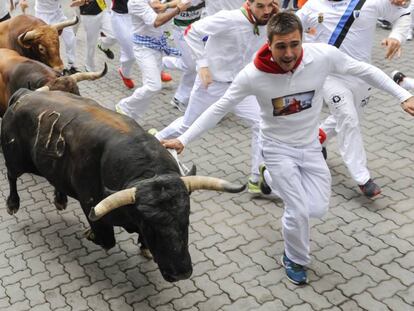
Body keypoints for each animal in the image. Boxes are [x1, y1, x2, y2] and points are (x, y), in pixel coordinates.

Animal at [0, 89, 246, 282]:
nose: (181, 273)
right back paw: (13, 204)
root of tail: (25, 94)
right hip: (14, 158)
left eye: (186, 218)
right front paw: (90, 234)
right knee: (12, 176)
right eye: (149, 225)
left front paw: (144, 247)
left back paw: (60, 199)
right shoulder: (92, 206)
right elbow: (106, 240)